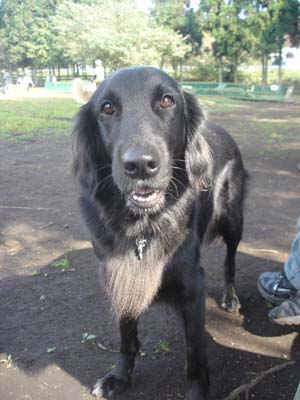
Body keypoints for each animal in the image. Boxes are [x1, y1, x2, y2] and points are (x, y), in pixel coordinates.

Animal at [72, 67, 246, 398]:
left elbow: (195, 355)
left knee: (231, 260)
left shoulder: (193, 284)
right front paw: (119, 379)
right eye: (107, 108)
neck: (142, 224)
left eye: (167, 101)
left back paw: (231, 296)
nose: (140, 165)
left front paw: (198, 392)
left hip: (233, 220)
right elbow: (127, 337)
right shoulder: (122, 274)